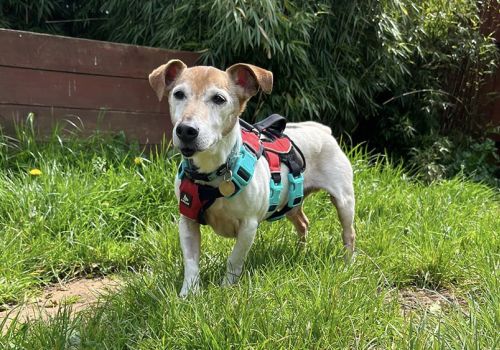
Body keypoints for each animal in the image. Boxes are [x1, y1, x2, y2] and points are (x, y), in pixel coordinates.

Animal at [148, 59, 356, 296]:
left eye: (219, 99)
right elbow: (191, 262)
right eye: (178, 94)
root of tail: (322, 130)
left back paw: (348, 263)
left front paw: (226, 289)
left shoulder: (248, 226)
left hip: (344, 201)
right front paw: (188, 294)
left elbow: (234, 260)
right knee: (303, 223)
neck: (214, 172)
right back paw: (300, 252)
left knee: (348, 233)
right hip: (292, 202)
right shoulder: (187, 220)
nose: (186, 130)